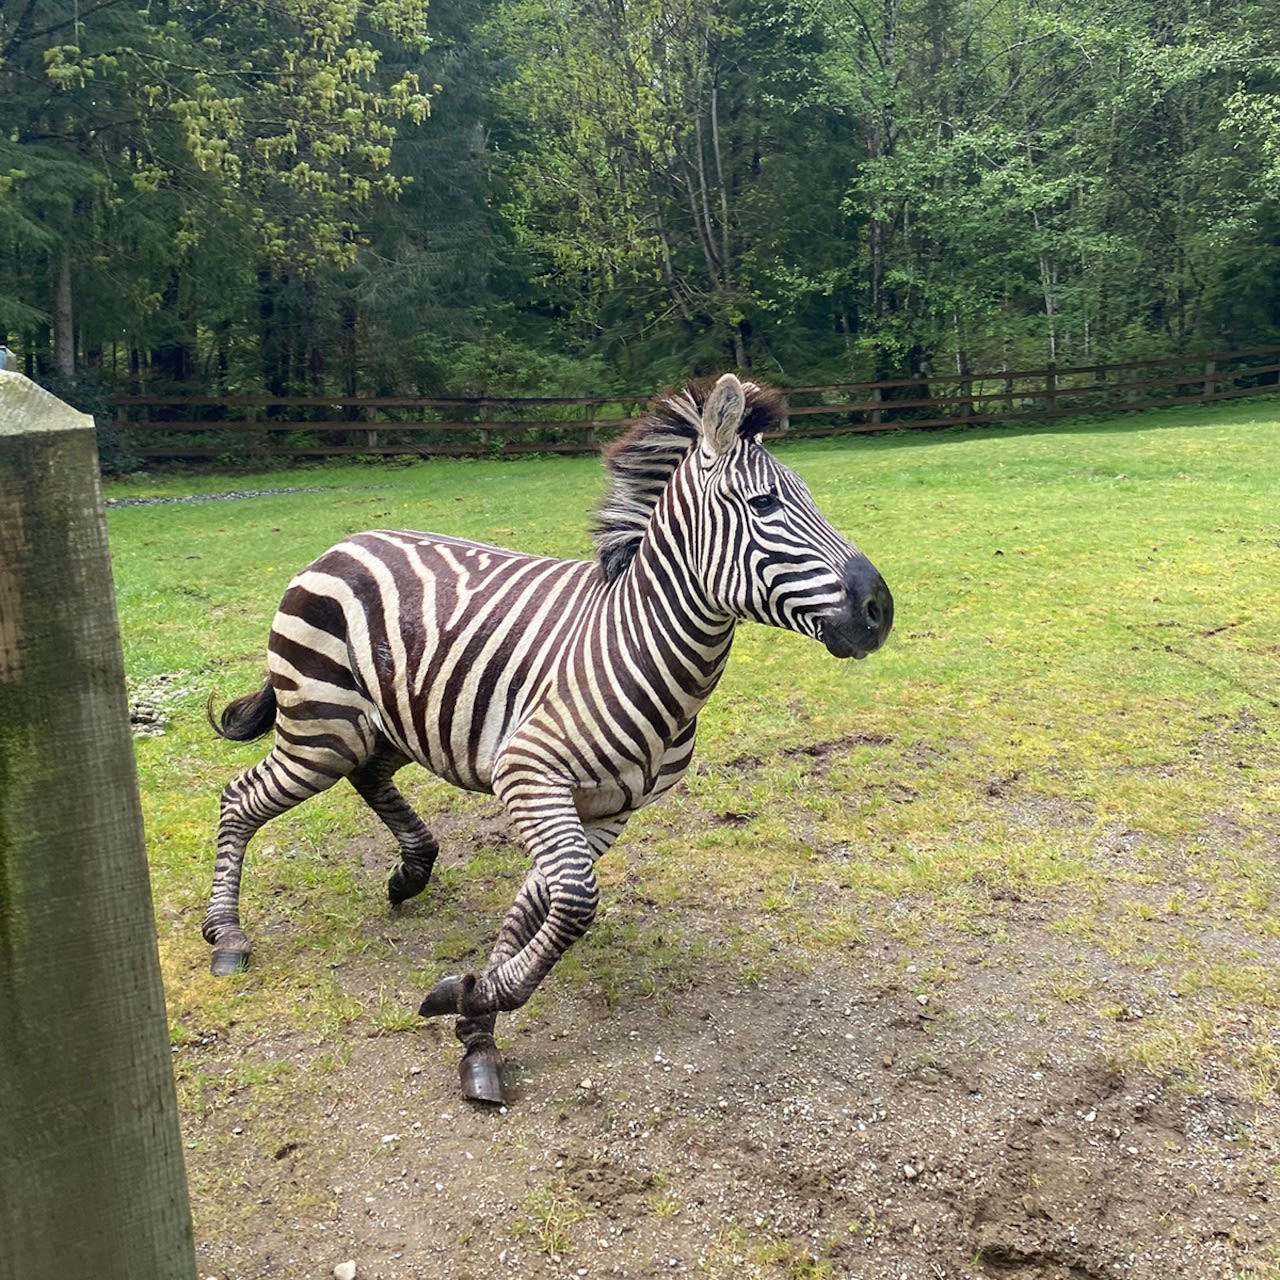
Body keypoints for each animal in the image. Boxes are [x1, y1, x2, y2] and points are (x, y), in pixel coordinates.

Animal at [207, 371, 890, 1100]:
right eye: (764, 505)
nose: (880, 609)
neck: (642, 643)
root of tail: (338, 546)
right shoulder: (528, 774)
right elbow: (576, 900)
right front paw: (472, 1001)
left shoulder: (607, 808)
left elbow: (546, 898)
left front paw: (476, 1016)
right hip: (321, 726)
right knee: (240, 800)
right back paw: (227, 936)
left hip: (391, 720)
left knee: (368, 775)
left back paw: (410, 874)